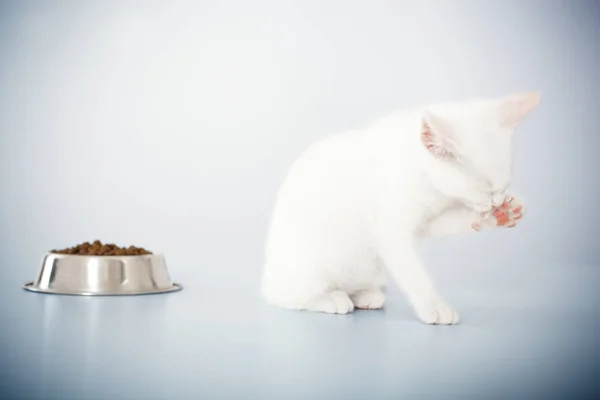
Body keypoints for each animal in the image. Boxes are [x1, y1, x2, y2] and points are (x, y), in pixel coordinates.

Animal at [260, 94, 540, 324]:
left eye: (503, 186)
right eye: (484, 188)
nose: (496, 202)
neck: (429, 184)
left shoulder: (426, 221)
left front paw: (501, 214)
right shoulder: (391, 230)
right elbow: (414, 273)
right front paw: (434, 307)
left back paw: (365, 295)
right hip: (307, 264)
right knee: (286, 296)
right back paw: (329, 298)